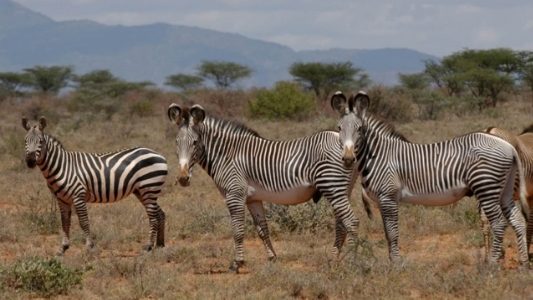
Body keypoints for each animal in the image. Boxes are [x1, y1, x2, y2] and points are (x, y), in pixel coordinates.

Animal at [21, 116, 167, 254]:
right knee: (160, 214)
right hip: (142, 191)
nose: (30, 161)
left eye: (40, 141)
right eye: (25, 141)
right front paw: (63, 248)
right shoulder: (62, 199)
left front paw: (89, 247)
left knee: (153, 218)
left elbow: (84, 222)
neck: (62, 166)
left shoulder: (78, 196)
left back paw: (149, 247)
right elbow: (64, 222)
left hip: (149, 187)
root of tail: (158, 154)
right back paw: (160, 245)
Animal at [166, 103, 358, 272]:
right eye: (176, 142)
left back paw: (355, 260)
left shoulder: (235, 194)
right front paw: (272, 258)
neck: (227, 155)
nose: (183, 178)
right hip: (341, 189)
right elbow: (262, 230)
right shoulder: (253, 199)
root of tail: (344, 142)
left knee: (351, 221)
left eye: (195, 142)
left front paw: (237, 263)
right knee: (341, 224)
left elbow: (238, 231)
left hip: (332, 186)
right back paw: (333, 260)